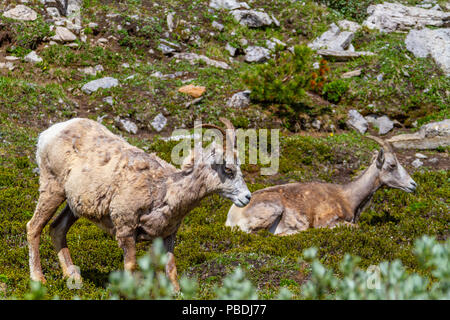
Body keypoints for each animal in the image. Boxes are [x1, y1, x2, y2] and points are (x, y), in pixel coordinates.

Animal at [28, 117, 251, 290]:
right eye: (228, 169)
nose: (247, 197)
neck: (164, 190)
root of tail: (49, 133)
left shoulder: (167, 235)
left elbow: (171, 269)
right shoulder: (126, 230)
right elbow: (131, 267)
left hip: (74, 205)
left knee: (57, 229)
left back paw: (73, 277)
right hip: (52, 188)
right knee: (34, 227)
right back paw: (39, 279)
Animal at [227, 136, 416, 236]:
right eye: (392, 165)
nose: (413, 185)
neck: (347, 197)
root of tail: (231, 217)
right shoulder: (328, 221)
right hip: (272, 210)